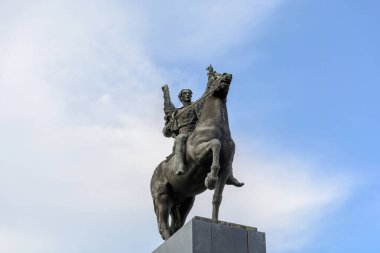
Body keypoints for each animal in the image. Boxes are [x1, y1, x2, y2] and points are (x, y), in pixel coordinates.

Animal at [151, 72, 238, 240]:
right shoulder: (199, 155)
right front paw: (210, 179)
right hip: (162, 197)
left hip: (185, 200)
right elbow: (215, 144)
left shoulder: (226, 168)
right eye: (215, 77)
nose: (227, 75)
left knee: (176, 225)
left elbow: (217, 198)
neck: (215, 127)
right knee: (164, 224)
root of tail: (154, 174)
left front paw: (215, 221)